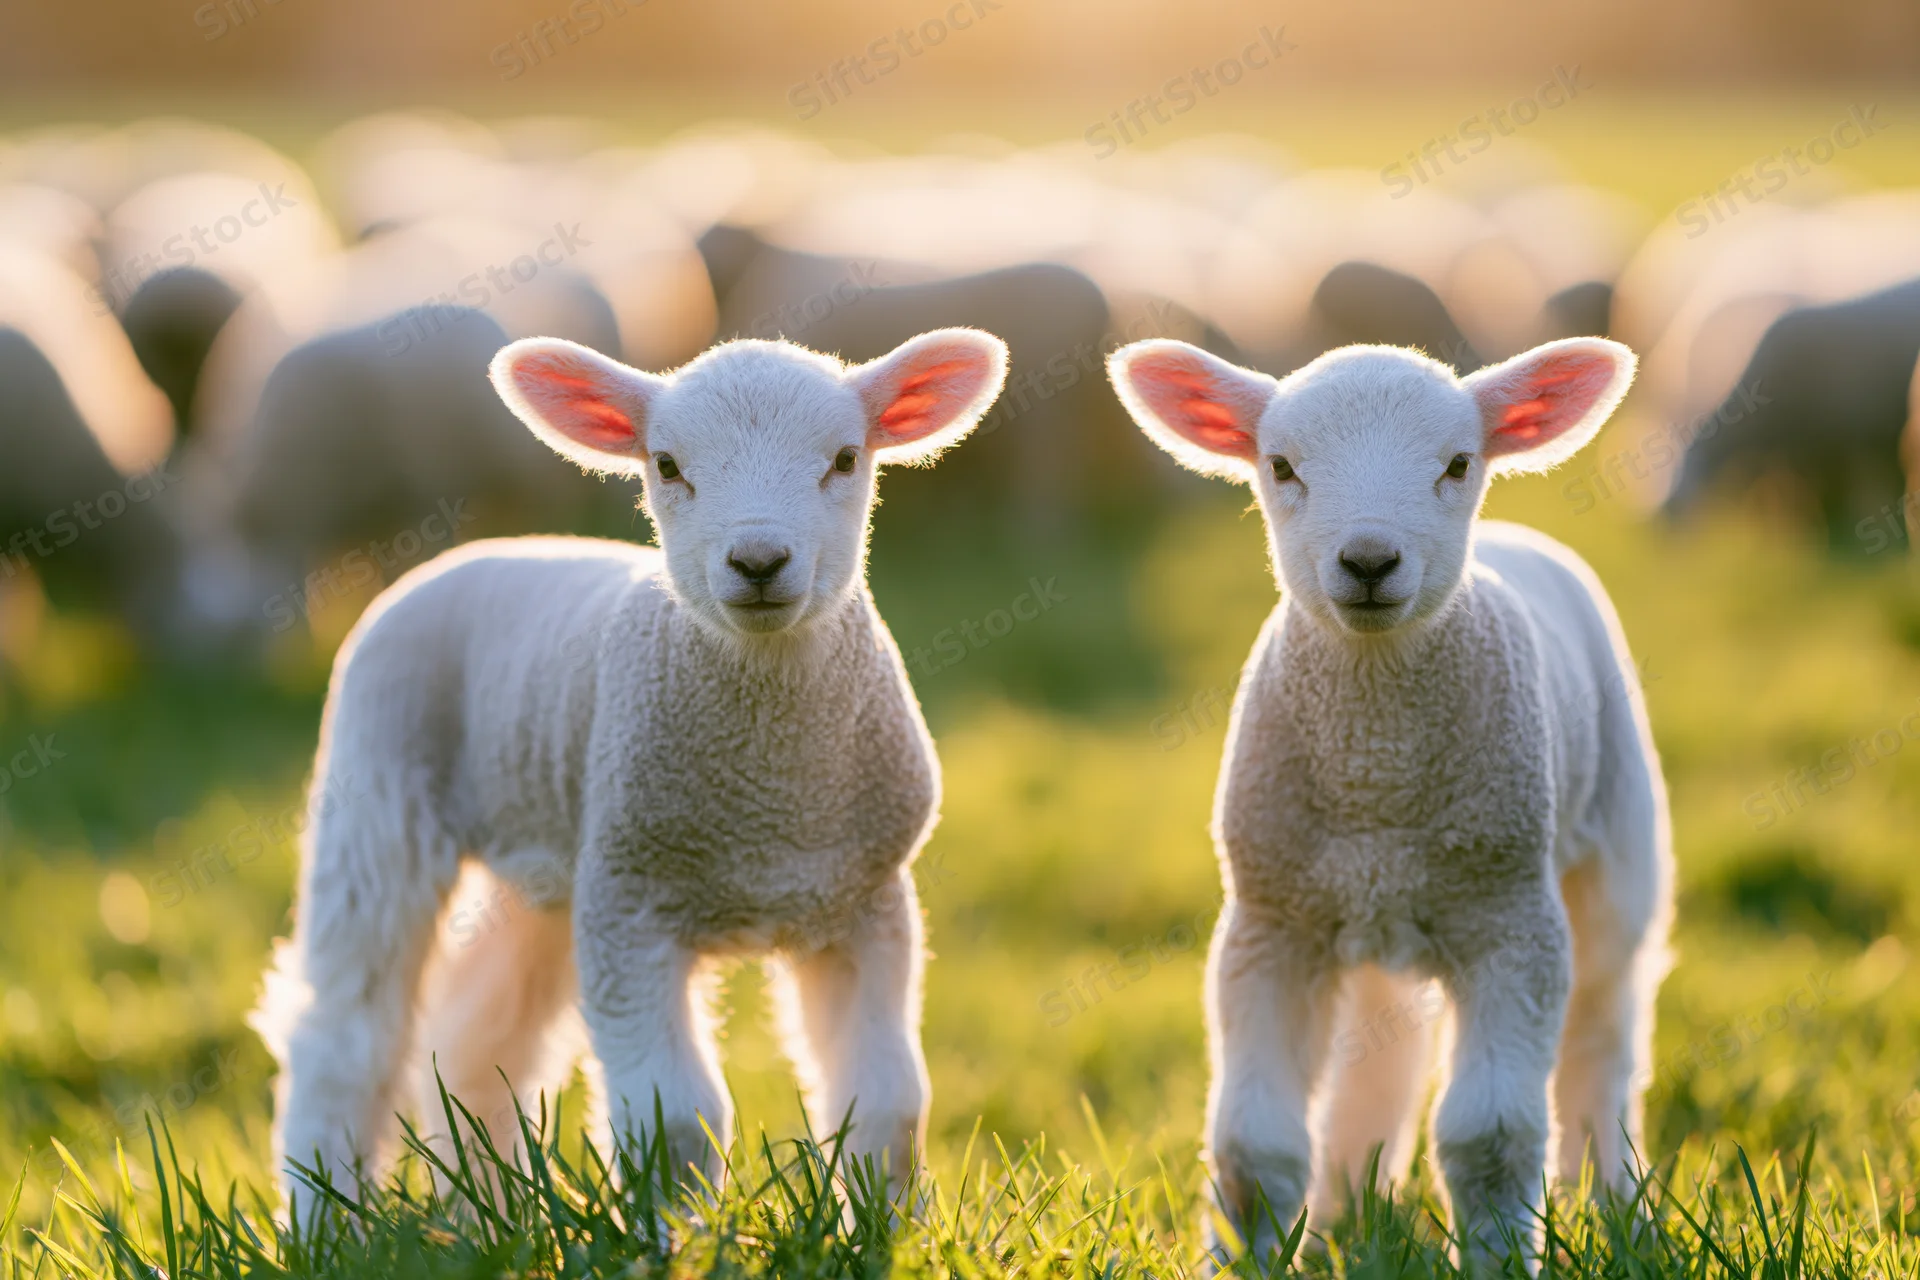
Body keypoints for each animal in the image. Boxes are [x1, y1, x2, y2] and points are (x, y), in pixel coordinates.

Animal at [250, 326, 1008, 1220]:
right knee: (345, 1036)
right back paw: (325, 1217)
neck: (770, 799)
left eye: (847, 459)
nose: (758, 560)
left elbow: (891, 1101)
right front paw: (678, 1235)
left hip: (549, 864)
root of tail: (462, 555)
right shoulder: (631, 907)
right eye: (668, 465)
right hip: (377, 791)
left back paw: (484, 1209)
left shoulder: (864, 905)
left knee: (480, 1037)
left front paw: (884, 1229)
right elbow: (676, 1119)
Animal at [1107, 335, 1672, 1267]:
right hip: (1365, 912)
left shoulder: (1512, 923)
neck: (1377, 774)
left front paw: (1498, 1262)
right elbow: (1253, 1147)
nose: (1369, 562)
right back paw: (1346, 1204)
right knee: (1380, 1053)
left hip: (1616, 850)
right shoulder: (1270, 927)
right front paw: (1246, 1259)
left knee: (1603, 1036)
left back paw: (1609, 1197)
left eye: (1458, 464)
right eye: (1281, 466)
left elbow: (1490, 1139)